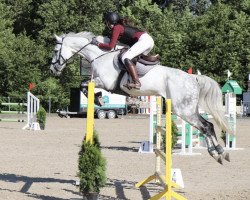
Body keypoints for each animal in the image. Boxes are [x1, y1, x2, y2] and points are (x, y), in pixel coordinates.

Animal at [49, 31, 231, 164]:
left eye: (55, 51)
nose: (52, 71)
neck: (101, 55)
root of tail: (193, 78)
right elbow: (85, 85)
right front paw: (98, 98)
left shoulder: (104, 82)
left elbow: (84, 84)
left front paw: (98, 98)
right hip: (188, 109)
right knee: (207, 126)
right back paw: (219, 153)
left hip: (183, 110)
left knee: (206, 126)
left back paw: (218, 153)